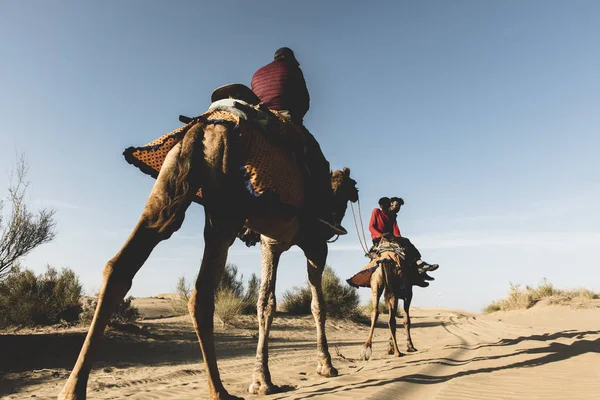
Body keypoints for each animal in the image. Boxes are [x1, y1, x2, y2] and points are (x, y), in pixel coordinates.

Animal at [59, 85, 360, 400]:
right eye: (353, 187)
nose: (354, 197)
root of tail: (205, 127)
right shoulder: (315, 245)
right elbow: (317, 305)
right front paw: (325, 366)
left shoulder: (271, 242)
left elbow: (266, 303)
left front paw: (261, 380)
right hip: (224, 211)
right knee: (201, 292)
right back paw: (219, 390)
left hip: (169, 185)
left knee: (120, 266)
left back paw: (72, 390)